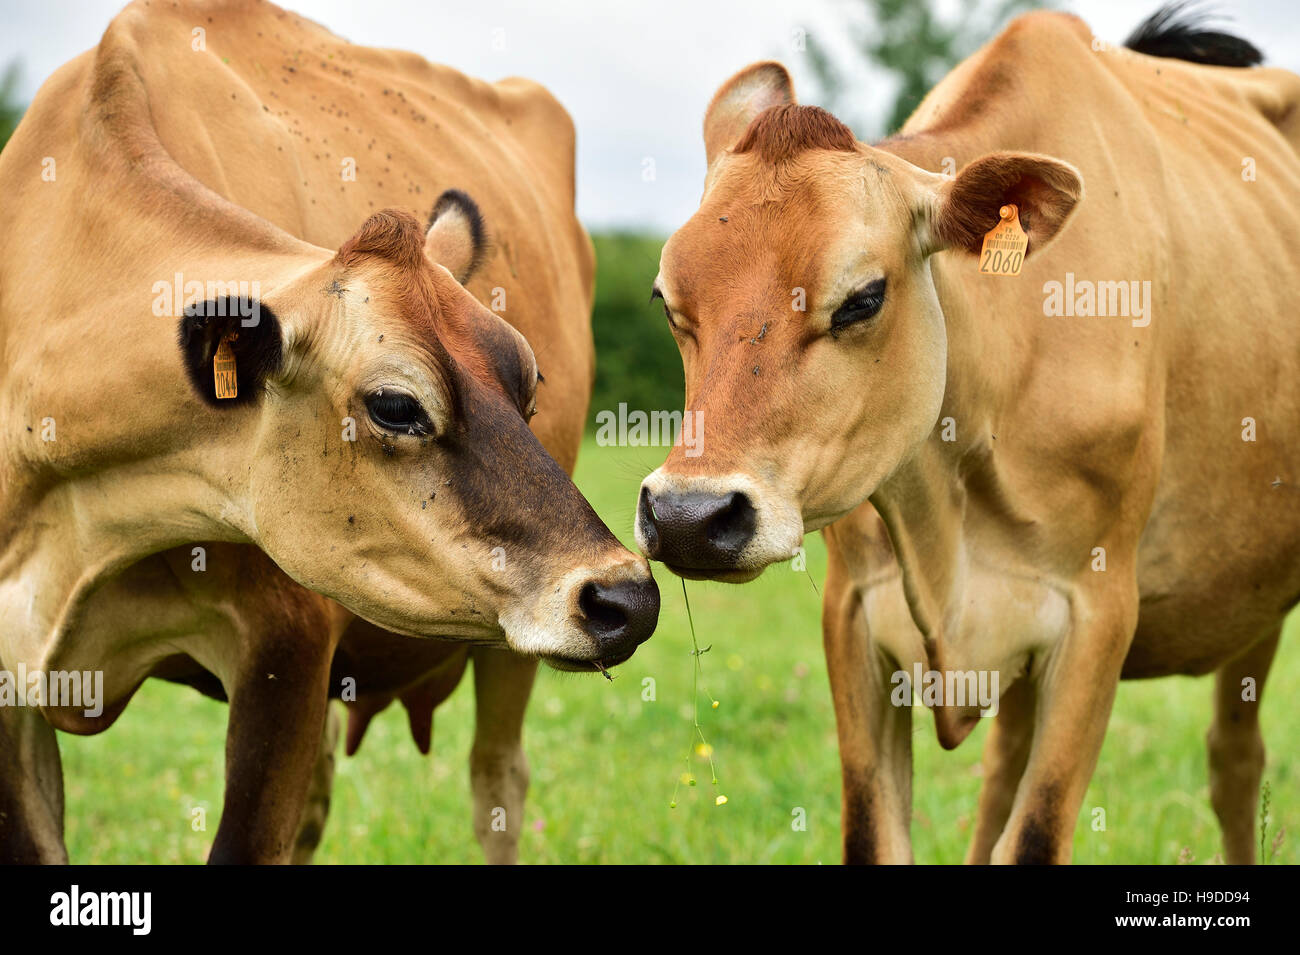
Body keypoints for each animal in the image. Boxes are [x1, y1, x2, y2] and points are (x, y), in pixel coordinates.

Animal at [637, 3, 1300, 862]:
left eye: (864, 297)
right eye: (667, 300)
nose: (689, 515)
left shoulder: (1097, 615)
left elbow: (1035, 832)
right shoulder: (854, 611)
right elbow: (880, 832)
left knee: (1234, 760)